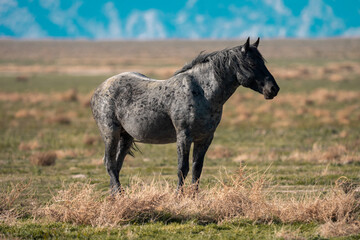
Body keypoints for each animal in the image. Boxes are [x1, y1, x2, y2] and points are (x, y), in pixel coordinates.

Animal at [90, 38, 278, 195]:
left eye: (263, 62)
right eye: (251, 63)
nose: (273, 89)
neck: (202, 92)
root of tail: (99, 90)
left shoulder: (205, 138)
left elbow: (197, 169)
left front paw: (194, 197)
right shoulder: (184, 136)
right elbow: (183, 168)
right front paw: (178, 197)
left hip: (126, 137)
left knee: (116, 165)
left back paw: (115, 196)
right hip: (110, 134)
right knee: (110, 163)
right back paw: (120, 194)